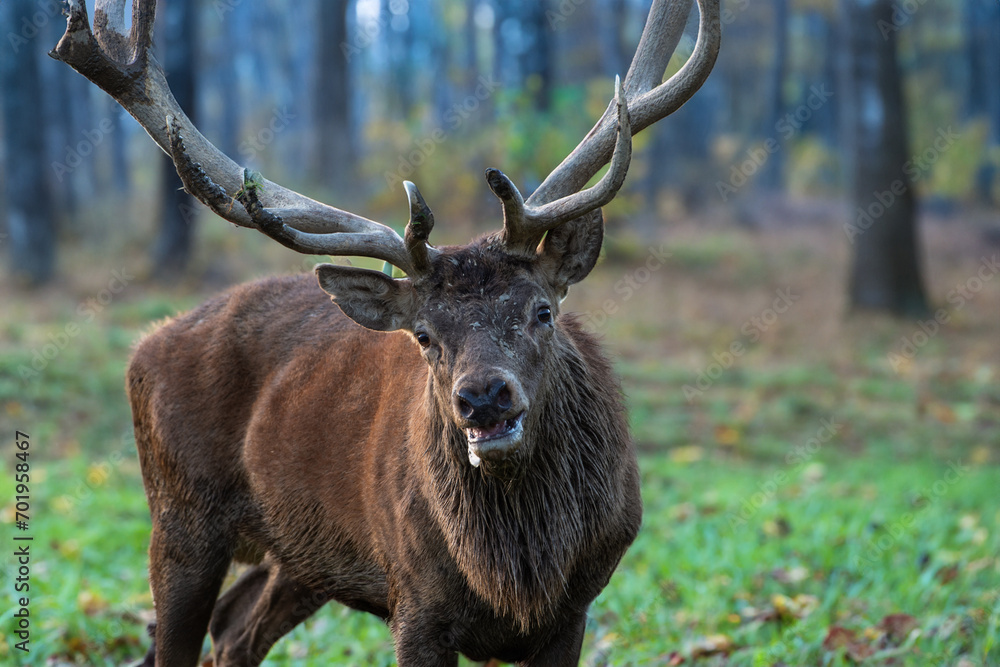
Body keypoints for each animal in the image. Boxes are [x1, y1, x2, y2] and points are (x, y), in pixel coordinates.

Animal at [52, 0, 720, 664]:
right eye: (423, 335)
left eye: (542, 311)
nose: (483, 397)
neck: (515, 575)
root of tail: (145, 346)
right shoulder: (416, 598)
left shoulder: (577, 605)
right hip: (179, 515)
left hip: (300, 554)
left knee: (235, 626)